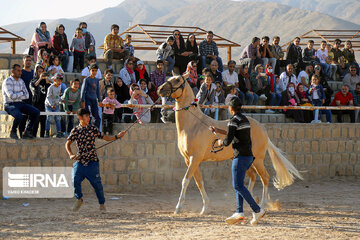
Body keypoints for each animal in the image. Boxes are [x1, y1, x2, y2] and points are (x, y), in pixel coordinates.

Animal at [159, 74, 302, 215]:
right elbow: (199, 182)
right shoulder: (188, 159)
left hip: (258, 160)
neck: (194, 124)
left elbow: (185, 180)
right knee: (253, 176)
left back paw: (261, 204)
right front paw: (205, 208)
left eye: (178, 80)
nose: (160, 89)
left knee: (265, 177)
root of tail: (263, 129)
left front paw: (178, 208)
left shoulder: (195, 158)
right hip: (246, 160)